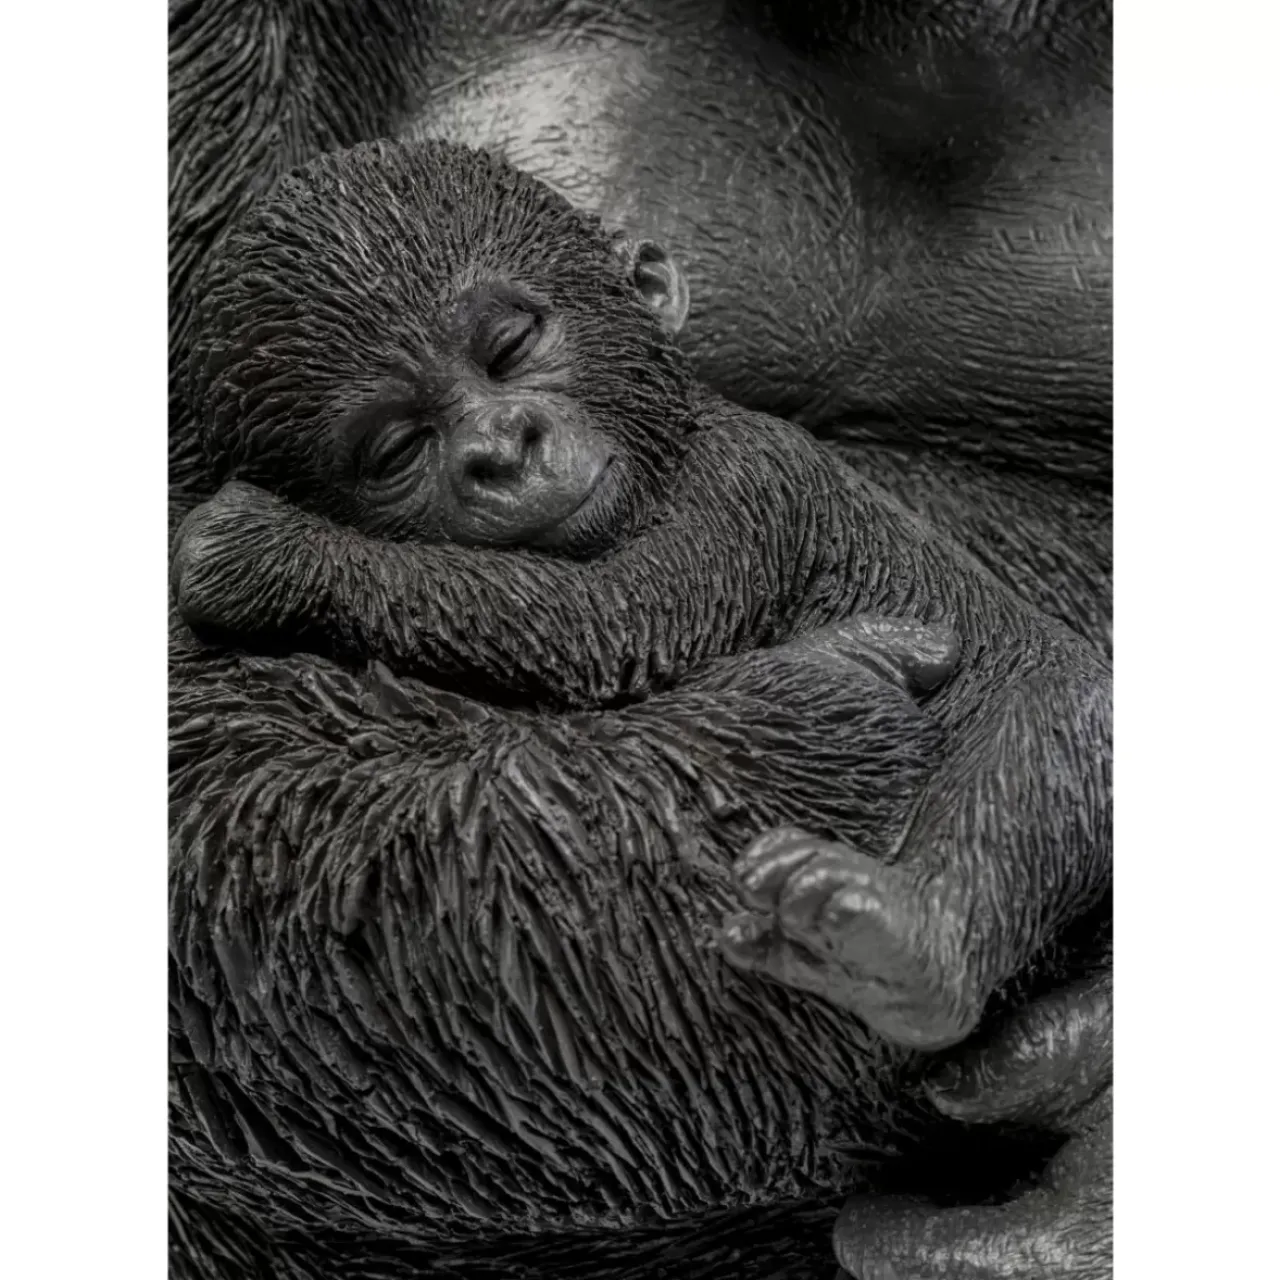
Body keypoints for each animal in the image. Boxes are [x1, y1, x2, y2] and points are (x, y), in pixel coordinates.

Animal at [172, 139, 1111, 1059]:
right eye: (399, 447)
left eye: (509, 345)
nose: (502, 451)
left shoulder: (745, 484)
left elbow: (613, 620)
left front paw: (264, 549)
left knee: (1051, 733)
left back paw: (908, 945)